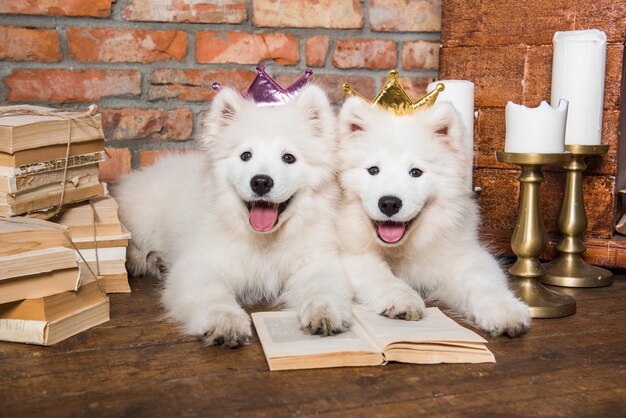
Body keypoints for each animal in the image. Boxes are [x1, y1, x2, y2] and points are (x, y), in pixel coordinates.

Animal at [114, 85, 354, 346]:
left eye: (288, 158)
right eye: (246, 155)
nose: (261, 182)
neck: (264, 241)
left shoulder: (315, 262)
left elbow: (322, 287)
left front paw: (325, 312)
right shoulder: (201, 265)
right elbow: (213, 294)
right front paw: (225, 322)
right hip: (140, 216)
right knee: (130, 242)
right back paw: (139, 261)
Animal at [334, 97, 528, 336]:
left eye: (415, 172)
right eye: (373, 170)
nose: (389, 203)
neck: (401, 249)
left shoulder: (463, 254)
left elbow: (482, 281)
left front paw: (504, 310)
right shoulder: (350, 254)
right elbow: (380, 275)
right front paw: (402, 299)